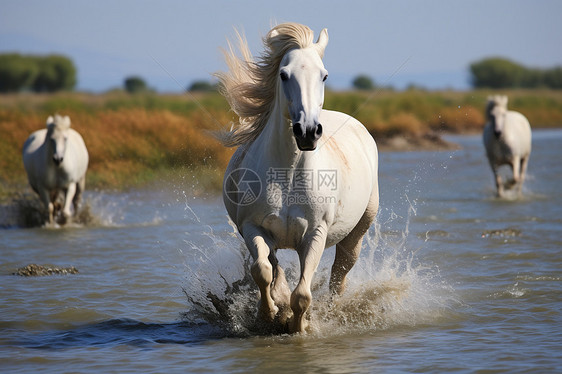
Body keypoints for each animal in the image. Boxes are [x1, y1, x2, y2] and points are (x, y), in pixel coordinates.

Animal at [217, 22, 378, 334]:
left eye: (324, 75)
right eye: (283, 74)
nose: (307, 132)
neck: (288, 173)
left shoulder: (315, 234)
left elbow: (302, 293)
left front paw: (298, 327)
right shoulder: (254, 228)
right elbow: (263, 271)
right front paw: (269, 314)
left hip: (357, 232)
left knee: (339, 275)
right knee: (274, 265)